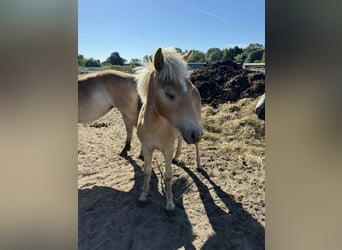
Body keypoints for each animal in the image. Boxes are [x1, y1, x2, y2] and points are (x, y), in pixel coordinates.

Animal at [134, 47, 203, 211]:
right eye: (169, 94)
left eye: (188, 91)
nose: (195, 134)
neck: (154, 127)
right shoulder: (147, 148)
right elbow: (147, 172)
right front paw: (143, 196)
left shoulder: (167, 149)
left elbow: (168, 176)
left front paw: (170, 204)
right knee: (180, 139)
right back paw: (177, 157)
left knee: (196, 145)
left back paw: (198, 164)